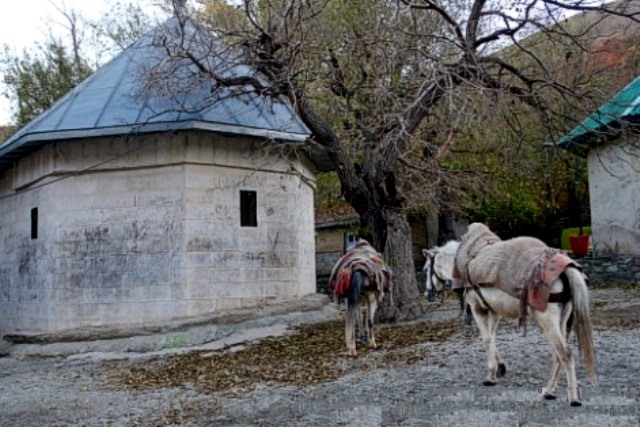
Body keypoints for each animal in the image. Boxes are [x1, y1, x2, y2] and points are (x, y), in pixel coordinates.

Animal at [424, 231, 596, 408]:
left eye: (426, 269)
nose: (428, 294)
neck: (464, 262)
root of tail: (565, 268)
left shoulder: (478, 308)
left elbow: (486, 338)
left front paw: (490, 375)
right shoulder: (495, 311)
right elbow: (492, 336)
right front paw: (500, 367)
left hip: (547, 321)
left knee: (565, 353)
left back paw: (573, 397)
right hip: (562, 320)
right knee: (558, 354)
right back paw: (549, 391)